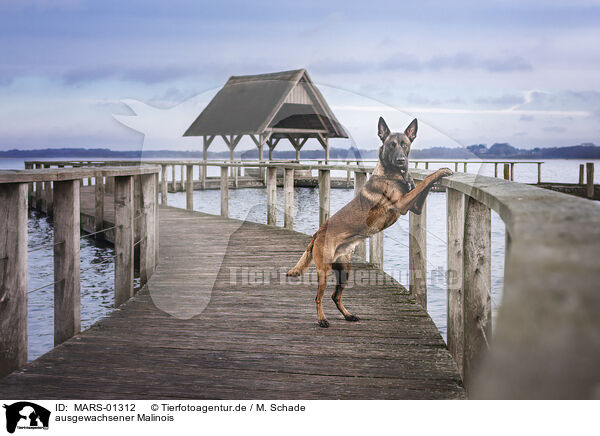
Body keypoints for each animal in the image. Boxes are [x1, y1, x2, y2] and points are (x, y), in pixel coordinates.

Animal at [288, 116, 452, 328]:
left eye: (405, 144)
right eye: (391, 145)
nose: (401, 160)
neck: (392, 173)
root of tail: (318, 232)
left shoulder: (415, 207)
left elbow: (422, 186)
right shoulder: (402, 204)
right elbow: (425, 182)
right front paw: (442, 170)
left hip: (344, 270)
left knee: (335, 296)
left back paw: (348, 315)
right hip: (324, 270)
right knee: (318, 297)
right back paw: (322, 319)